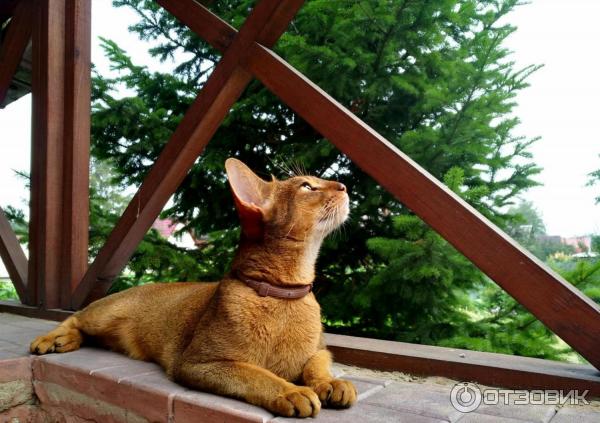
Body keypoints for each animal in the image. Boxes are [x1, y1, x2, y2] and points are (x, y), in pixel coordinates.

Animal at [30, 158, 356, 418]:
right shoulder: (199, 363)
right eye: (307, 186)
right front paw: (289, 391)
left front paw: (330, 383)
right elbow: (255, 373)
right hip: (105, 314)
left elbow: (317, 363)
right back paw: (50, 339)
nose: (343, 185)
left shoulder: (320, 349)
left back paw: (66, 341)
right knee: (76, 317)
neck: (283, 294)